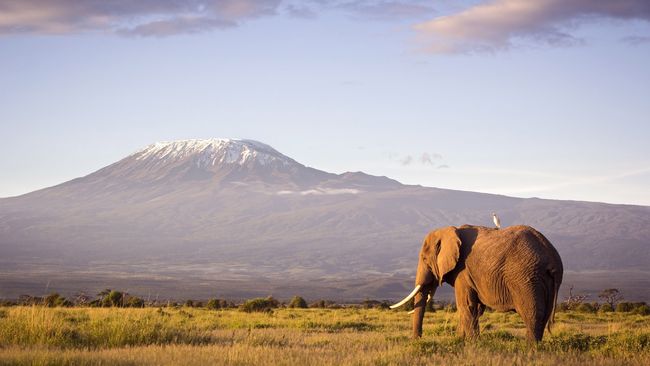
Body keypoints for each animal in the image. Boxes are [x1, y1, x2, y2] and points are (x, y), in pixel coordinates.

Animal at [390, 224, 560, 342]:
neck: (450, 230)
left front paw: (472, 343)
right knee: (544, 316)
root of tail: (552, 257)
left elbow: (466, 305)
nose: (416, 340)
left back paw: (530, 348)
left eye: (424, 259)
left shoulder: (463, 272)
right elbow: (475, 308)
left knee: (532, 314)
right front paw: (461, 340)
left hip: (526, 279)